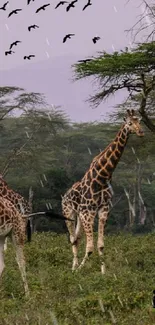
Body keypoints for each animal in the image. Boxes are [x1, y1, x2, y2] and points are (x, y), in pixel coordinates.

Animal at [61, 109, 144, 270]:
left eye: (139, 120)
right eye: (130, 123)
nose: (141, 131)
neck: (102, 176)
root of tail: (65, 195)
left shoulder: (103, 210)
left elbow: (100, 245)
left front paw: (103, 273)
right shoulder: (88, 212)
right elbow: (90, 247)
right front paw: (79, 270)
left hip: (79, 215)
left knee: (77, 238)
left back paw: (74, 266)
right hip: (69, 213)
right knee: (72, 238)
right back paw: (73, 268)